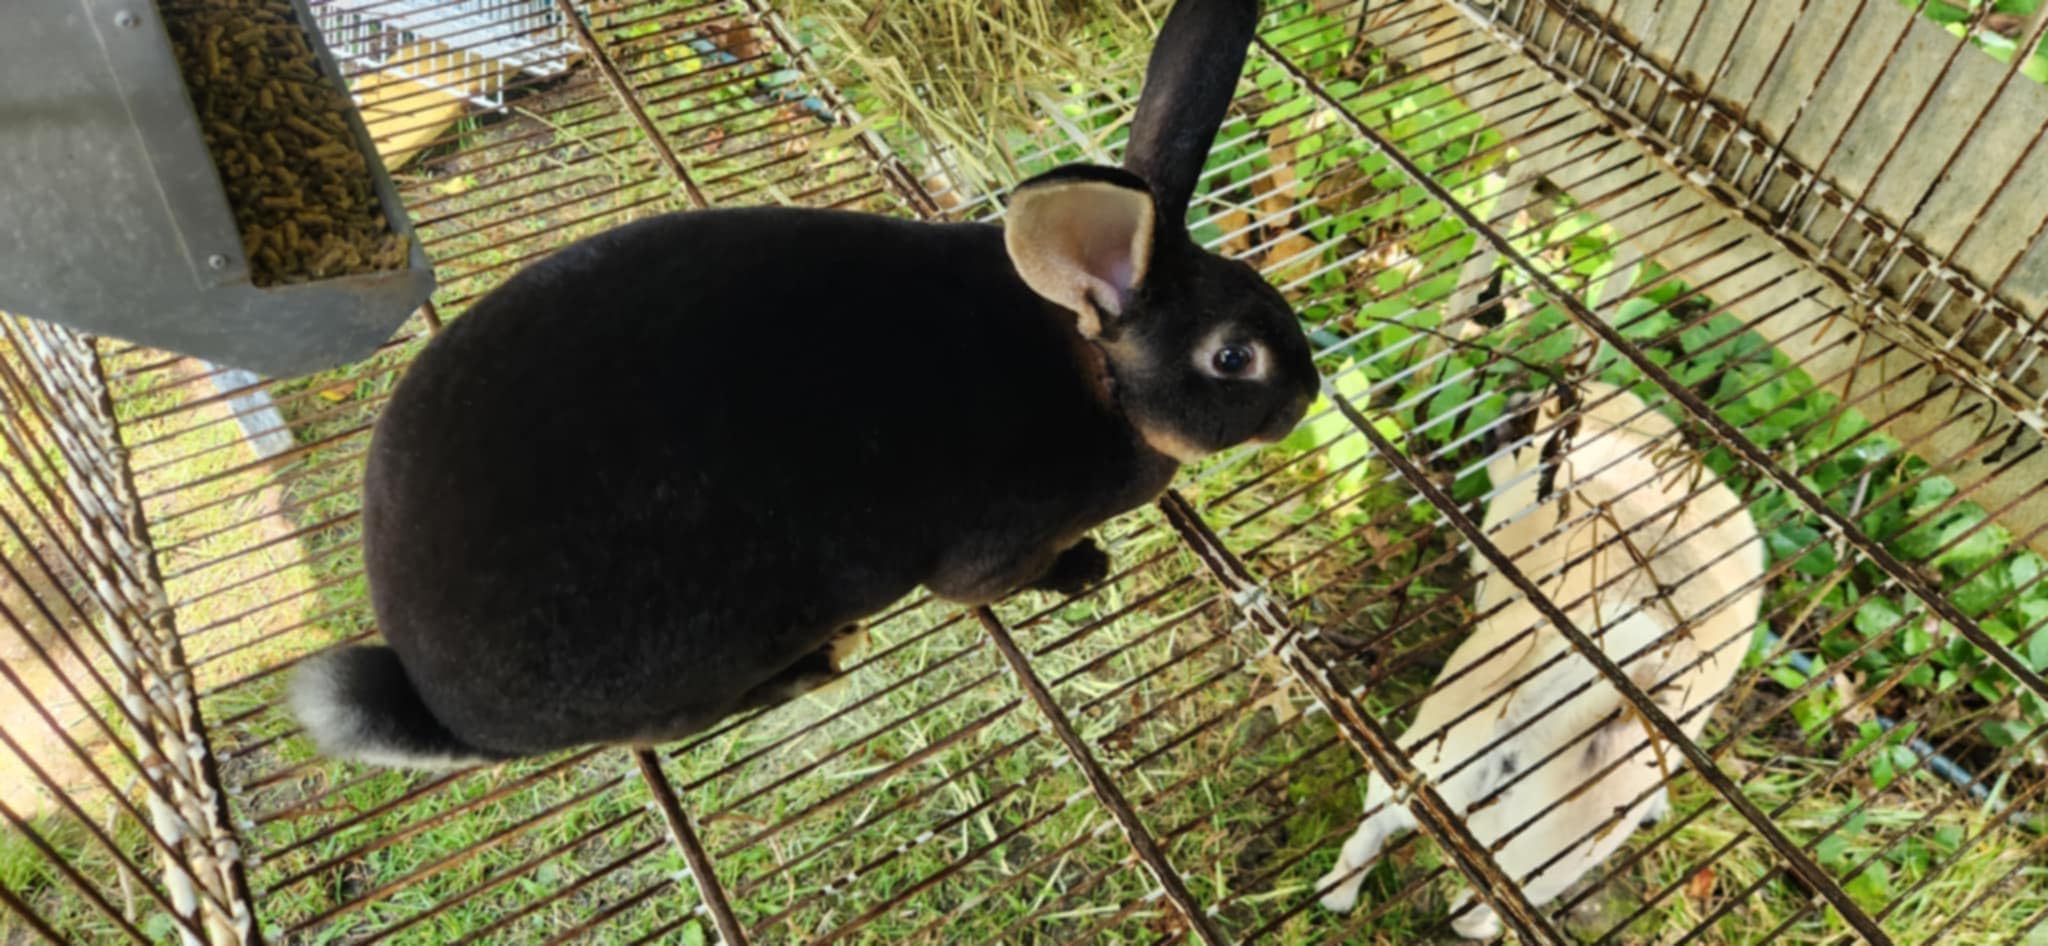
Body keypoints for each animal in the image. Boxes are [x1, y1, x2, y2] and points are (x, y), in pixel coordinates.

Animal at [287, 0, 1319, 771]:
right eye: (1234, 358)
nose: (1308, 393)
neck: (1099, 376)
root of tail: (435, 700)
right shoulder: (994, 551)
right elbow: (999, 585)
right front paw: (1088, 571)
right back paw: (826, 659)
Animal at [1314, 380, 1764, 939]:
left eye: (1524, 418)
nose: (1510, 398)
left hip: (1408, 784)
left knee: (1369, 847)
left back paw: (1338, 895)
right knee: (1468, 910)